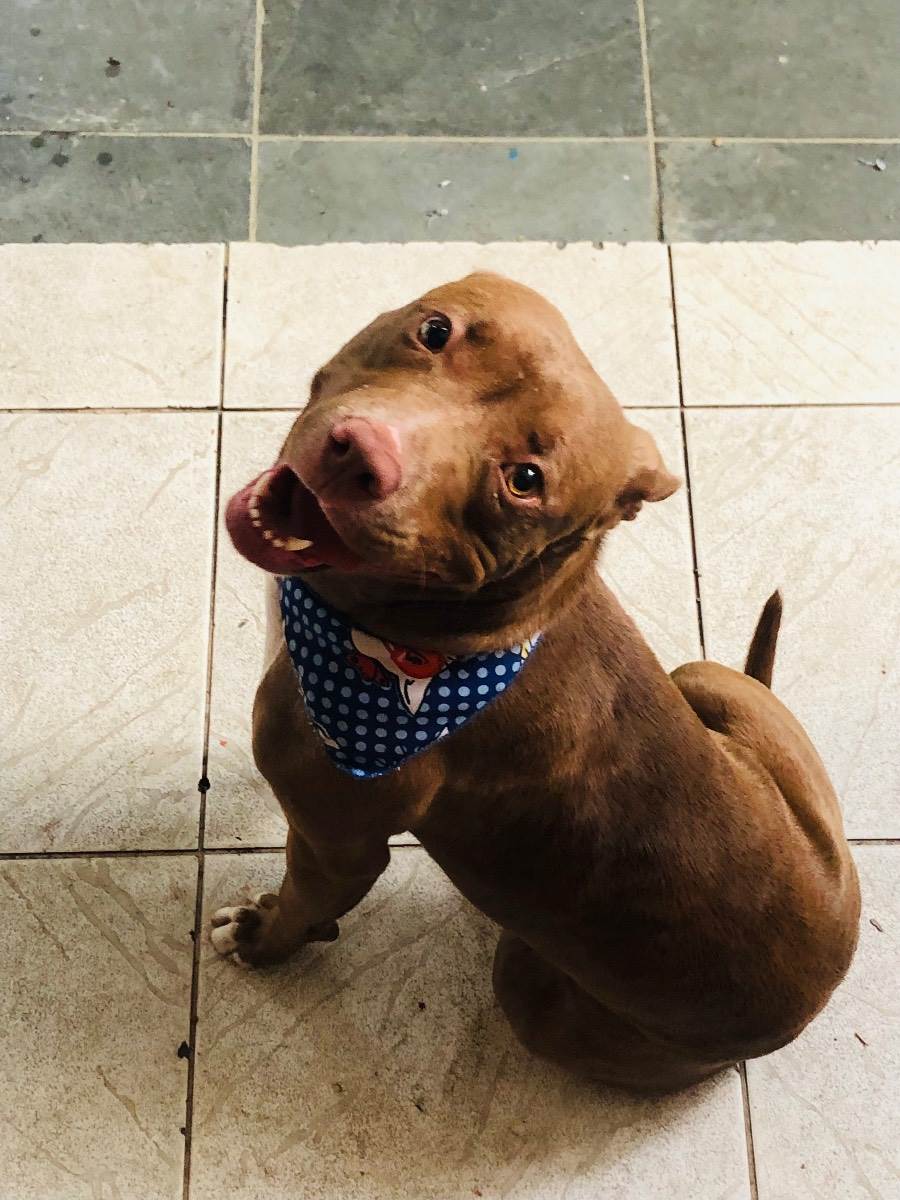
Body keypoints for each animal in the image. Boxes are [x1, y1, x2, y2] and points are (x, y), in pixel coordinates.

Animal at [212, 273, 860, 1094]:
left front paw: (262, 937)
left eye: (523, 481)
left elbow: (302, 908)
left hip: (527, 987)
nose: (361, 454)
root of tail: (815, 995)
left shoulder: (339, 848)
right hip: (708, 682)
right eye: (435, 331)